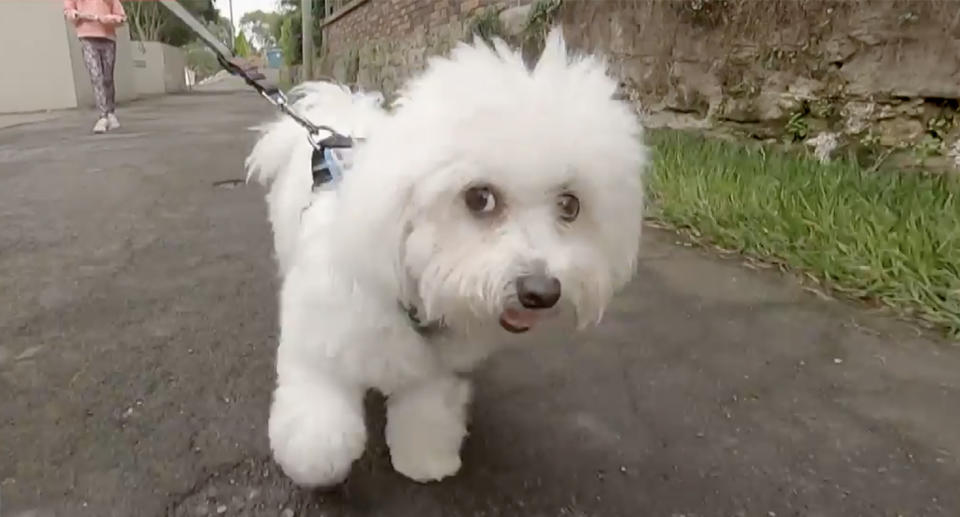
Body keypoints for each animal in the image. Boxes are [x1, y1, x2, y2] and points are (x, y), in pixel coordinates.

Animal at [244, 30, 648, 486]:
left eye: (570, 205)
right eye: (479, 198)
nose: (542, 291)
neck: (411, 302)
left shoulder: (434, 374)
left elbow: (426, 416)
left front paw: (425, 461)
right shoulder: (319, 347)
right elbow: (318, 427)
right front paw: (317, 463)